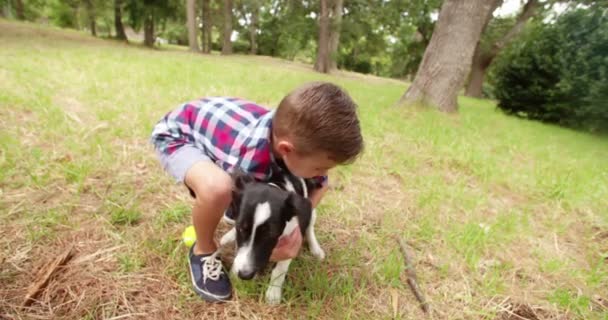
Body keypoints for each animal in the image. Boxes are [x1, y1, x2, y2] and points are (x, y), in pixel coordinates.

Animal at [220, 165, 326, 304]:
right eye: (241, 229)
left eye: (270, 234)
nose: (244, 275)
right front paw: (235, 272)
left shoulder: (292, 240)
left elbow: (279, 270)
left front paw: (273, 293)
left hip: (310, 212)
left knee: (310, 227)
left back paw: (316, 249)